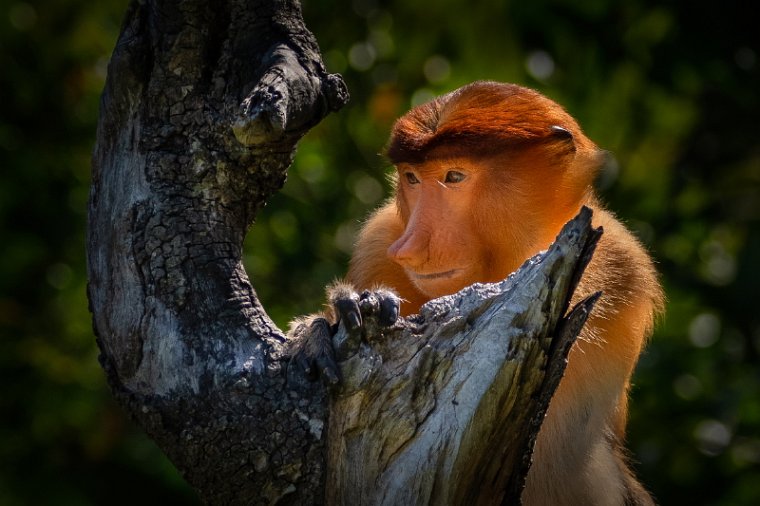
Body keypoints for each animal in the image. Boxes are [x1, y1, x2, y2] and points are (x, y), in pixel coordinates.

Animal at [288, 81, 664, 504]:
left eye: (454, 176)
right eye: (412, 178)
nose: (408, 247)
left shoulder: (620, 265)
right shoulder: (379, 239)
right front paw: (326, 327)